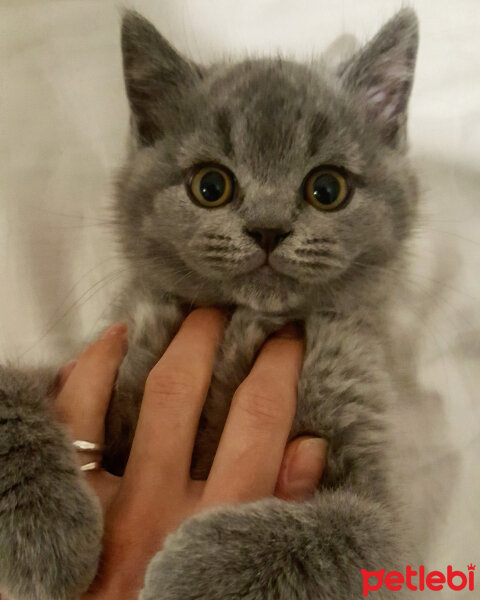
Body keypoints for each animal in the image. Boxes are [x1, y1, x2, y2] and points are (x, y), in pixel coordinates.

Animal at [1, 9, 424, 600]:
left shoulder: (374, 477)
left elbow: (360, 529)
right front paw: (45, 531)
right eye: (210, 185)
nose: (268, 229)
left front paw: (193, 574)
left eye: (327, 188)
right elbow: (10, 392)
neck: (246, 320)